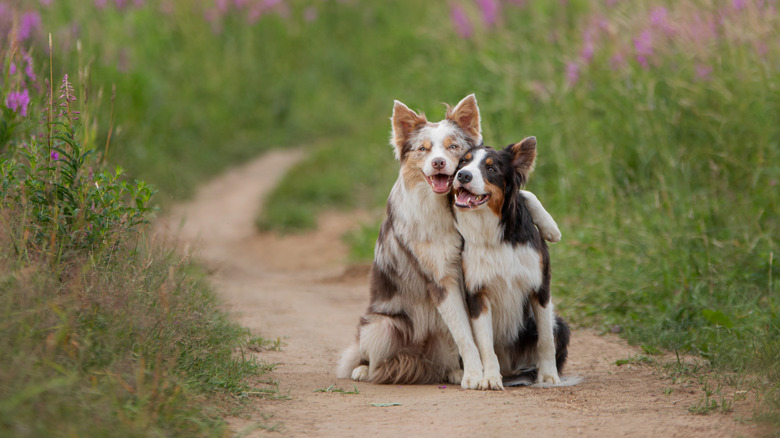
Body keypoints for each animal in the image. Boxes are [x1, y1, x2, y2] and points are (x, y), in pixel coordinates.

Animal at [336, 96, 560, 390]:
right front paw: (476, 374)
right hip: (383, 327)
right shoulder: (443, 280)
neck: (447, 210)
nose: (440, 163)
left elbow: (525, 193)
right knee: (369, 353)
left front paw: (549, 226)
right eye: (423, 149)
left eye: (453, 146)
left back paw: (453, 372)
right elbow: (466, 335)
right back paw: (364, 369)